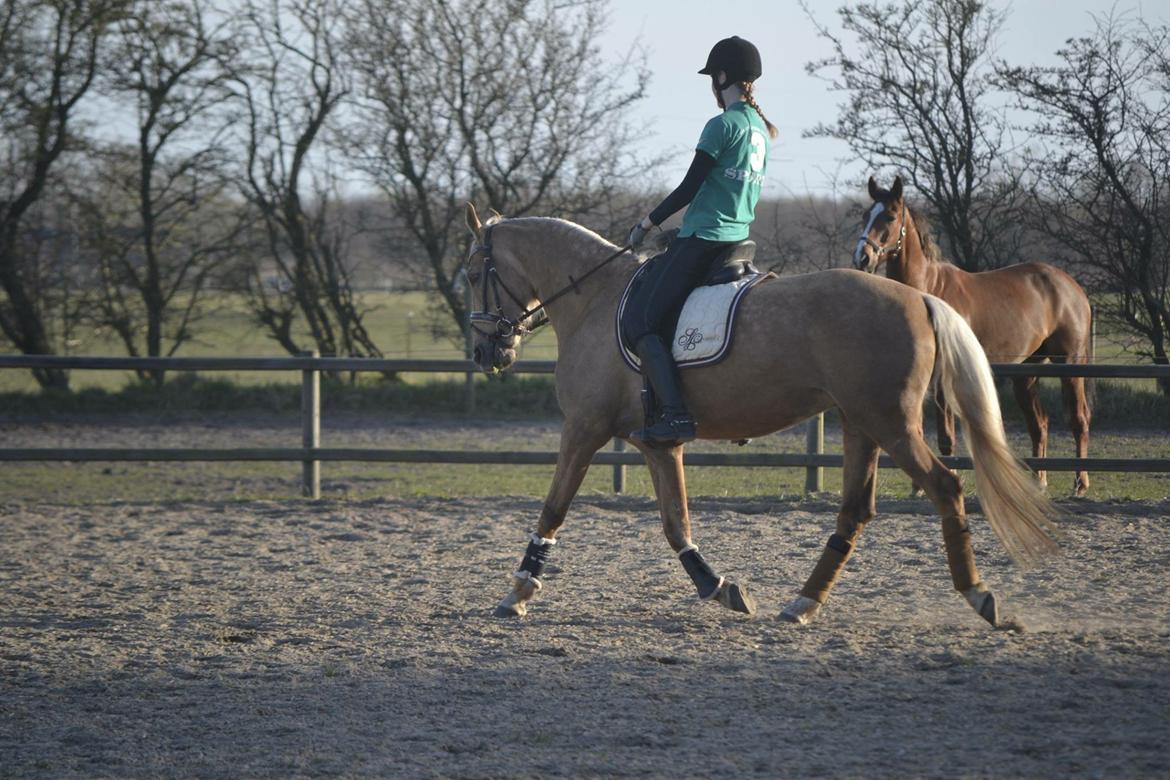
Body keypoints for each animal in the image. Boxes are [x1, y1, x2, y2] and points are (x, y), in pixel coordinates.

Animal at [465, 203, 1062, 626]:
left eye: (473, 274)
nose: (484, 352)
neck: (594, 298)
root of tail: (918, 299)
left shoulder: (584, 429)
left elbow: (553, 509)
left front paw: (517, 592)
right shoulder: (659, 443)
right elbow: (676, 524)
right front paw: (720, 589)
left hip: (893, 425)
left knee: (945, 488)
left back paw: (978, 595)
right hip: (861, 424)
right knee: (855, 511)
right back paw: (802, 604)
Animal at [856, 176, 1090, 493]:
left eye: (890, 217)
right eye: (866, 215)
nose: (862, 257)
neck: (929, 291)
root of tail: (1072, 287)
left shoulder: (943, 380)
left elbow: (946, 436)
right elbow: (918, 430)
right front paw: (918, 486)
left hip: (1069, 365)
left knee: (1078, 420)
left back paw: (1080, 483)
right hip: (1026, 373)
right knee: (1039, 424)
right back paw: (1038, 481)